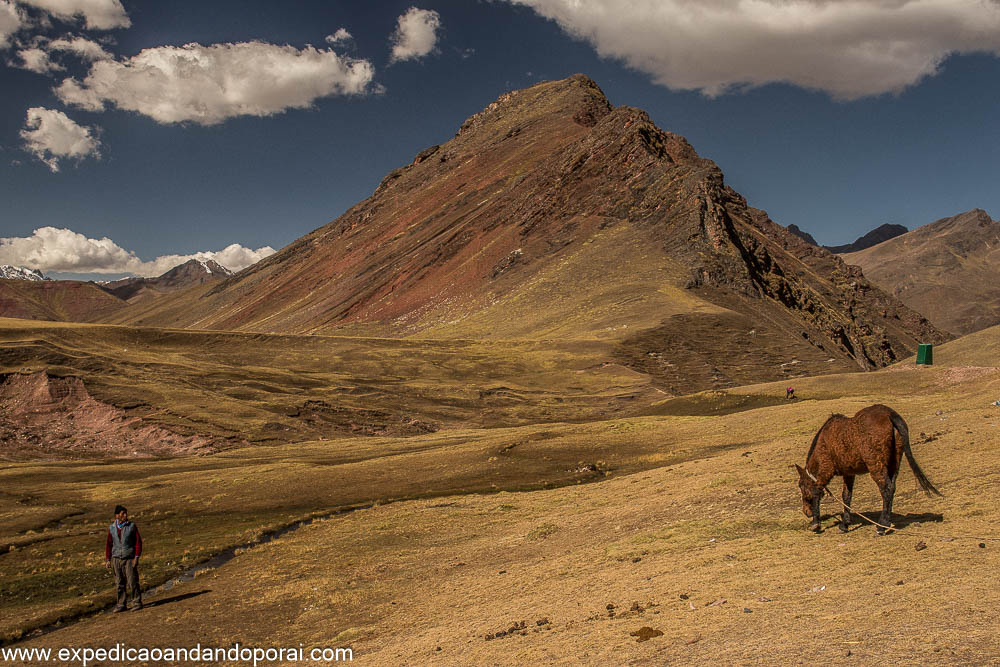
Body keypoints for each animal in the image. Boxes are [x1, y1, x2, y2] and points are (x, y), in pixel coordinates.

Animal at [792, 402, 940, 536]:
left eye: (801, 486)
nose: (806, 512)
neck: (825, 442)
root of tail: (890, 415)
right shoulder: (849, 473)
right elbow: (846, 496)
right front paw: (845, 525)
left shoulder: (827, 470)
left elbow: (818, 493)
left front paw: (816, 524)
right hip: (894, 462)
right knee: (892, 487)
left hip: (876, 465)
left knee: (886, 488)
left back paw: (881, 526)